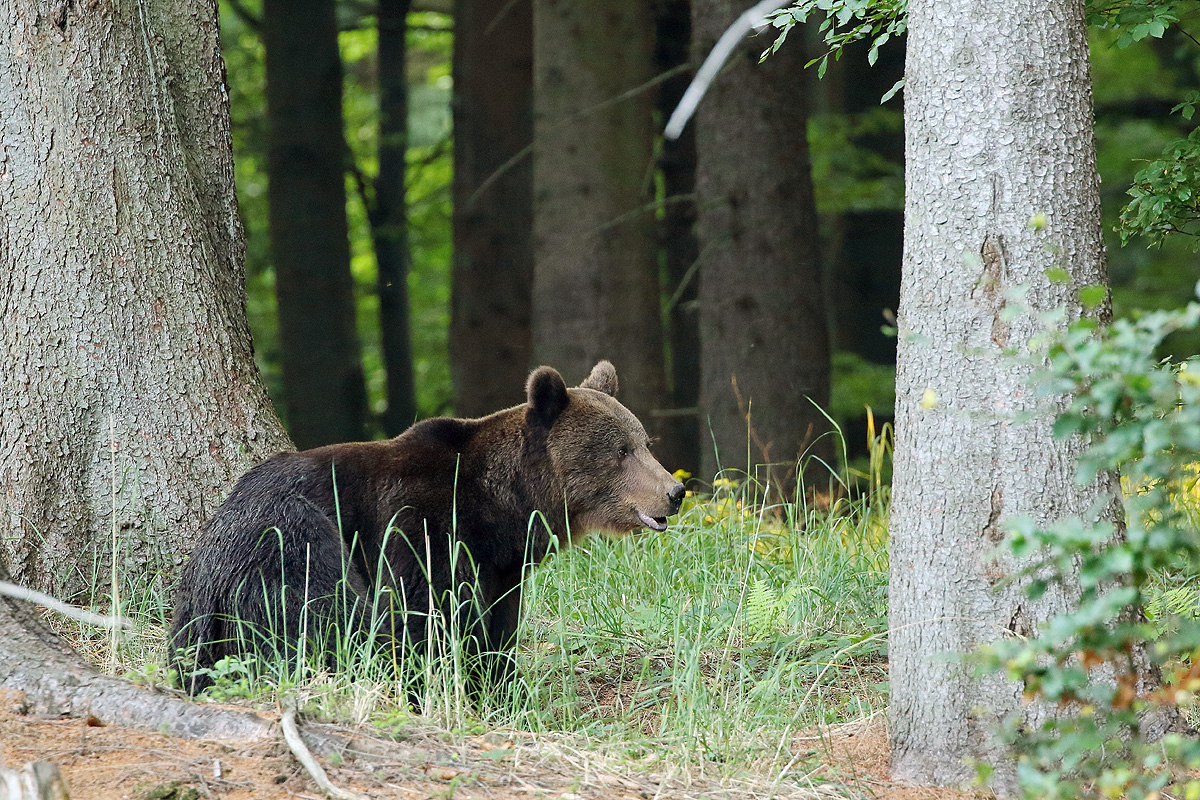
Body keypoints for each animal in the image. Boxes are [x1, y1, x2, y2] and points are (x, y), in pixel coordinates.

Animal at [169, 359, 686, 695]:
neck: (503, 508)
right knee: (325, 608)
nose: (674, 491)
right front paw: (442, 681)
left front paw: (500, 685)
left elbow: (497, 626)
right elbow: (429, 610)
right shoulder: (422, 523)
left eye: (644, 441)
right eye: (621, 450)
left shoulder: (501, 566)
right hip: (287, 535)